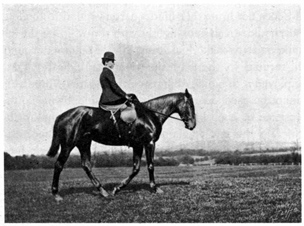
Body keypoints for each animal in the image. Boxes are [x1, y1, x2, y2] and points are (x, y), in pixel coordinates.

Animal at [46, 88, 196, 201]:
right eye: (190, 105)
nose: (192, 125)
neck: (149, 114)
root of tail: (62, 116)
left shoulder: (138, 145)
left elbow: (136, 168)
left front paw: (117, 189)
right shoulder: (149, 143)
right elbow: (150, 165)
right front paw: (155, 188)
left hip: (84, 143)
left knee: (86, 165)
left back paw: (103, 192)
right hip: (68, 145)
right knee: (59, 165)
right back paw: (56, 194)